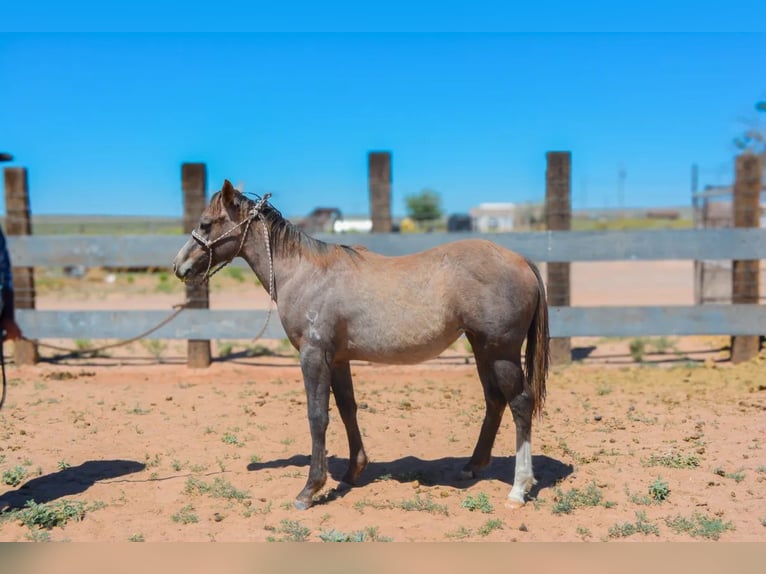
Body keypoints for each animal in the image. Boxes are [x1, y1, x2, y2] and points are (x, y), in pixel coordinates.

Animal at [172, 181, 552, 512]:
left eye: (206, 224)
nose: (179, 266)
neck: (306, 273)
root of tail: (522, 261)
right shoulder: (338, 359)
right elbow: (347, 409)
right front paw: (353, 471)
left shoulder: (313, 356)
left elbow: (317, 417)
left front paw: (310, 490)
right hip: (482, 348)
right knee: (494, 400)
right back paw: (473, 465)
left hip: (501, 353)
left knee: (520, 403)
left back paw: (519, 489)